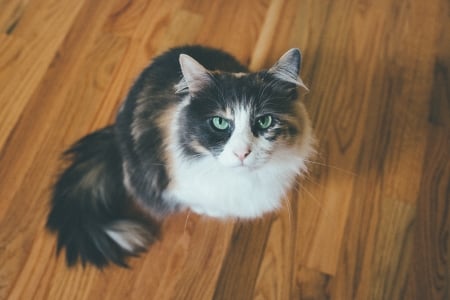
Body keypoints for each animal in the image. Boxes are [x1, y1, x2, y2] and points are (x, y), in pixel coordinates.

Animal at [44, 45, 312, 268]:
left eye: (265, 121)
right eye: (219, 122)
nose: (242, 152)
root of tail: (116, 136)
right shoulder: (178, 186)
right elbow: (199, 202)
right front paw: (213, 212)